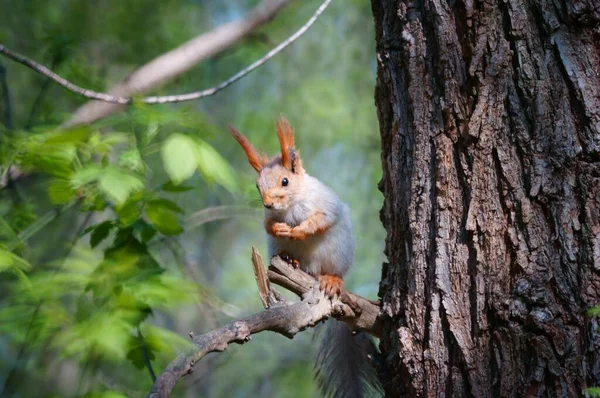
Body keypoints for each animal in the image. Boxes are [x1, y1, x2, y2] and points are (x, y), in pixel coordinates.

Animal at [227, 115, 382, 398]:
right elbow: (267, 224)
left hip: (336, 253)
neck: (291, 206)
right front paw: (280, 228)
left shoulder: (326, 205)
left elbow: (319, 221)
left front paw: (299, 230)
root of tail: (311, 271)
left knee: (333, 272)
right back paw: (290, 260)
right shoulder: (269, 217)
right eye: (257, 185)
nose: (268, 203)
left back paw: (331, 279)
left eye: (285, 182)